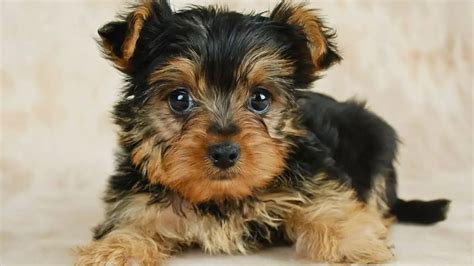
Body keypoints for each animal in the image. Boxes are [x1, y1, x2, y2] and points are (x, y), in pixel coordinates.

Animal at [77, 0, 448, 264]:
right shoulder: (136, 203)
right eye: (179, 99)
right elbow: (129, 227)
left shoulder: (314, 175)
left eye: (260, 98)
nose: (224, 152)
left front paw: (355, 240)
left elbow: (329, 204)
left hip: (374, 136)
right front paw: (113, 252)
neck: (222, 198)